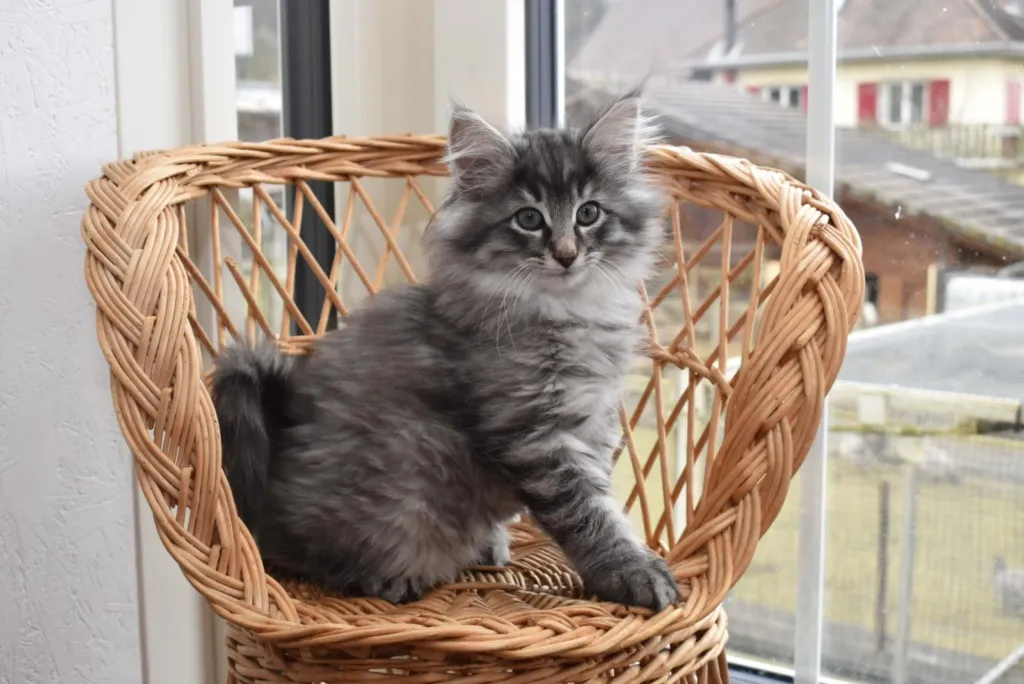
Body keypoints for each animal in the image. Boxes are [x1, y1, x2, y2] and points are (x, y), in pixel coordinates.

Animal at [212, 90, 681, 611]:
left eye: (588, 213)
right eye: (529, 219)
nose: (565, 254)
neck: (564, 312)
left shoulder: (594, 425)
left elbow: (605, 503)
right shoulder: (535, 436)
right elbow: (589, 515)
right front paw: (633, 572)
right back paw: (393, 578)